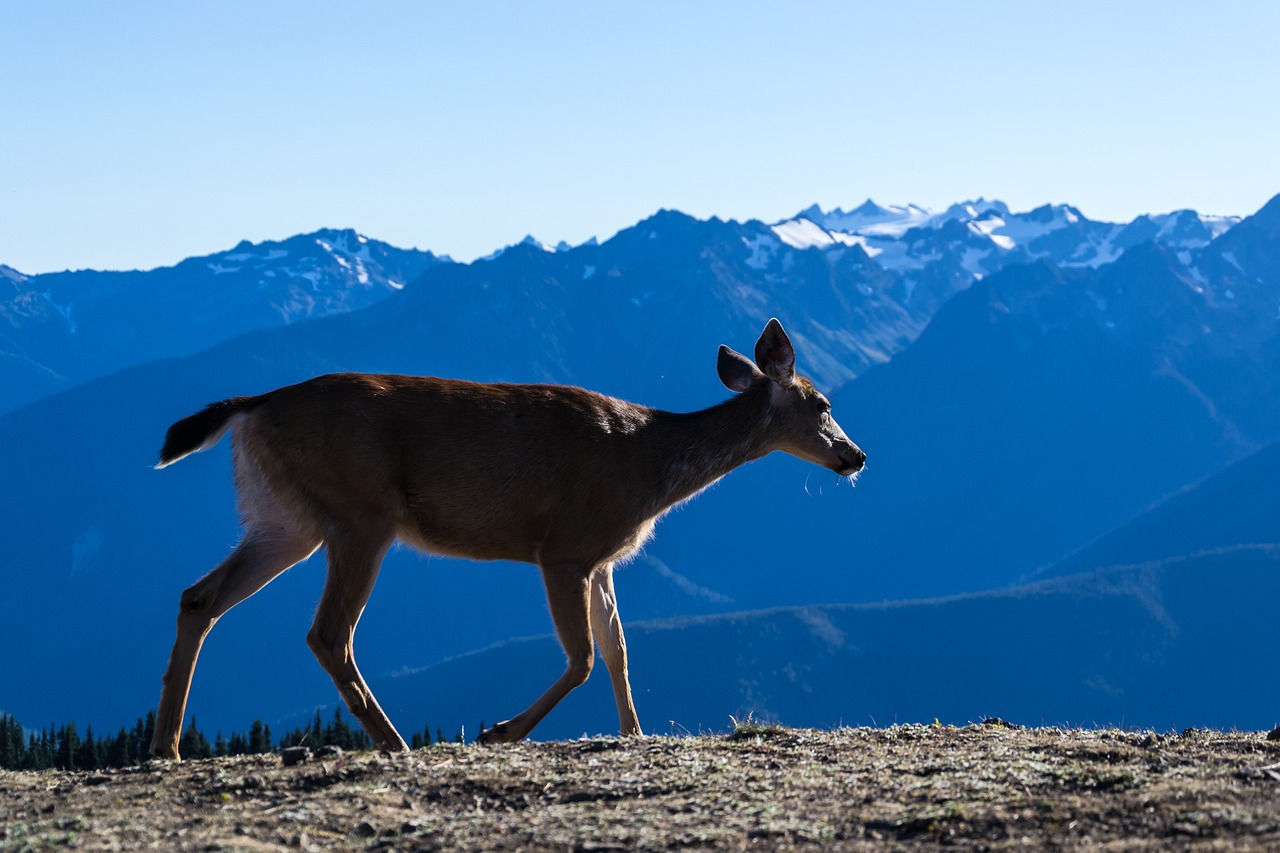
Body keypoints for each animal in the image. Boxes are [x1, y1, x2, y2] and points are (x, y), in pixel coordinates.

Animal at [152, 315, 870, 753]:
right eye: (823, 402)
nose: (856, 456)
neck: (650, 465)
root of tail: (254, 405)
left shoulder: (603, 559)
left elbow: (619, 650)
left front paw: (634, 733)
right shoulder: (565, 547)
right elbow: (583, 657)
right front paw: (501, 730)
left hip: (286, 519)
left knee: (198, 596)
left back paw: (167, 746)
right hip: (361, 513)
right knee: (328, 632)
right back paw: (395, 742)